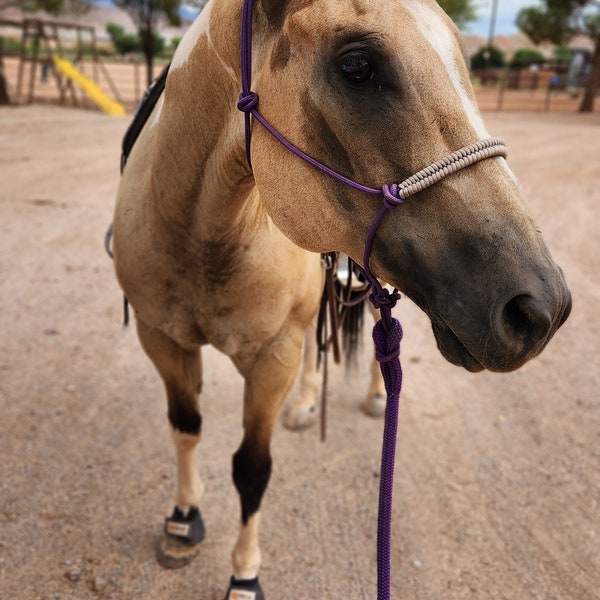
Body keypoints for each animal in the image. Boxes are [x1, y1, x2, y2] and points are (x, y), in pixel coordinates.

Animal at [111, 0, 572, 596]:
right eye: (357, 66)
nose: (543, 307)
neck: (199, 234)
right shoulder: (162, 339)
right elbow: (186, 428)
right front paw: (183, 520)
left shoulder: (272, 355)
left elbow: (252, 468)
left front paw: (245, 573)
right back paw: (308, 401)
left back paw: (376, 395)